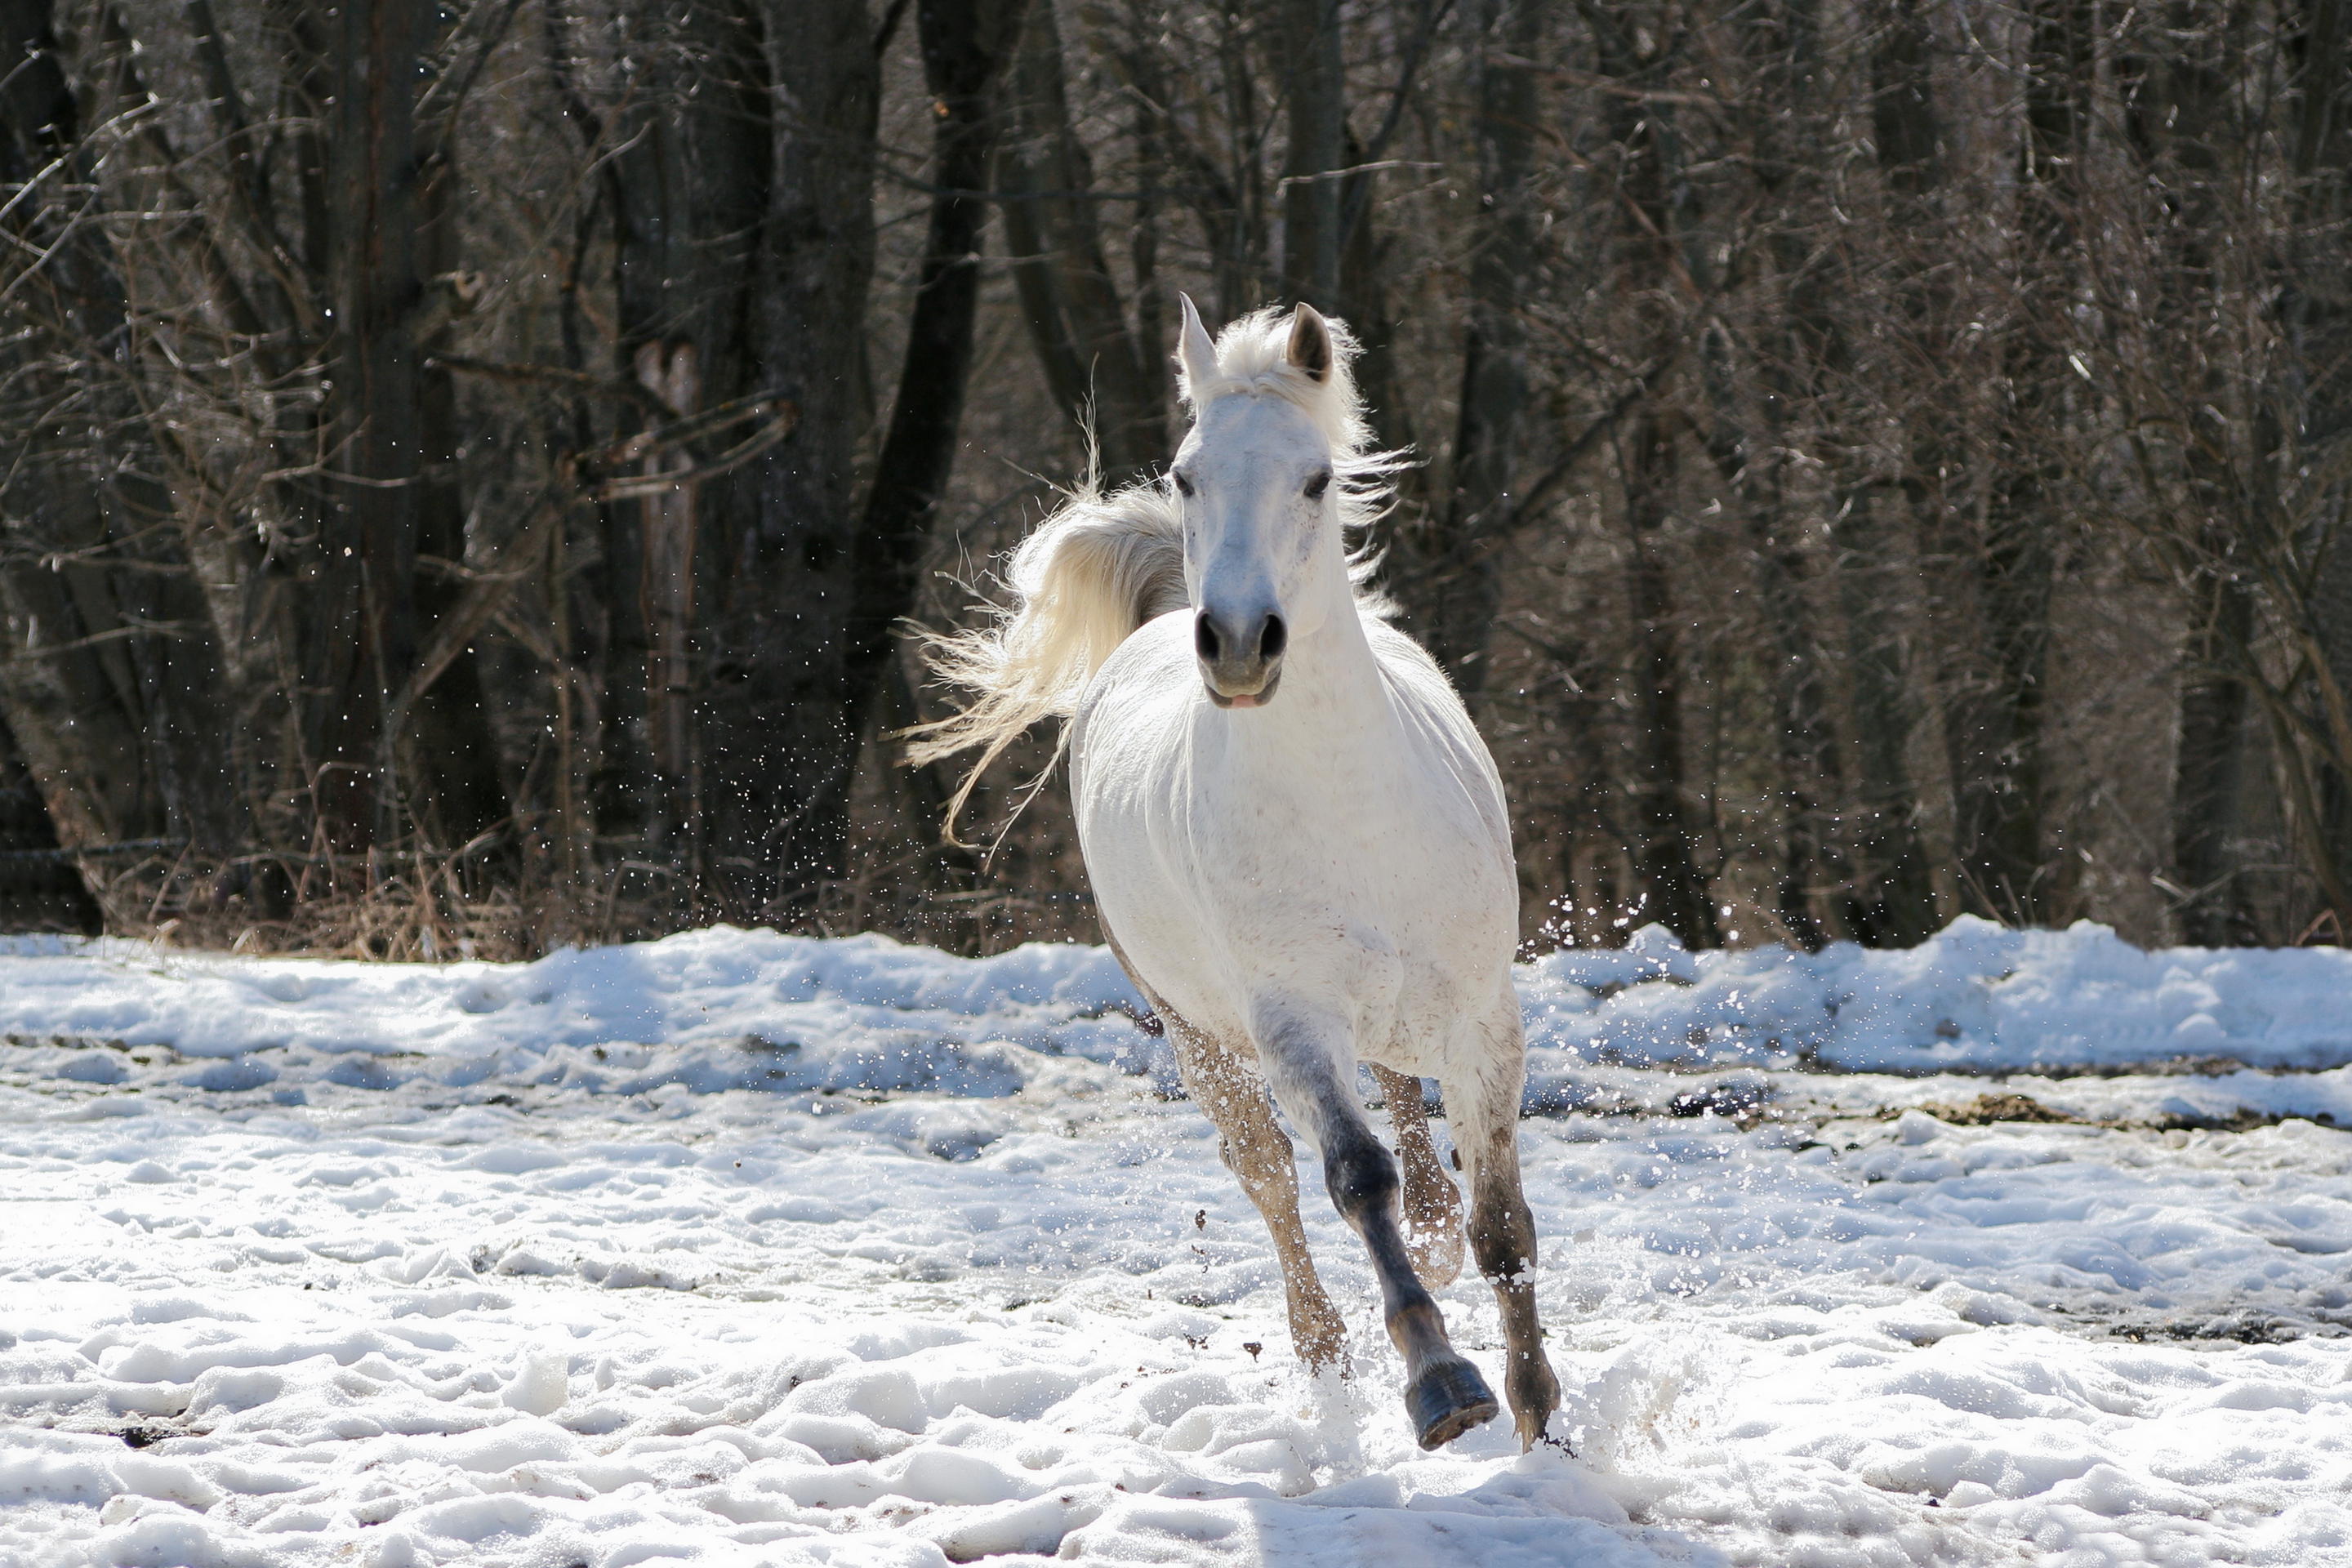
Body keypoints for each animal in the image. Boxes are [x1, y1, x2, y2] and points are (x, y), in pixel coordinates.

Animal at [917, 293, 1561, 1448]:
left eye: (1314, 479)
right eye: (1186, 475)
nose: (1239, 646)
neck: (1349, 804)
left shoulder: (1485, 1016)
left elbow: (1501, 1224)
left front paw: (1542, 1419)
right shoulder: (1289, 1022)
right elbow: (1352, 1179)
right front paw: (1443, 1385)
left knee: (1403, 1105)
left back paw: (1432, 1236)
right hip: (1198, 1031)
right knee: (1269, 1176)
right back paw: (1324, 1347)